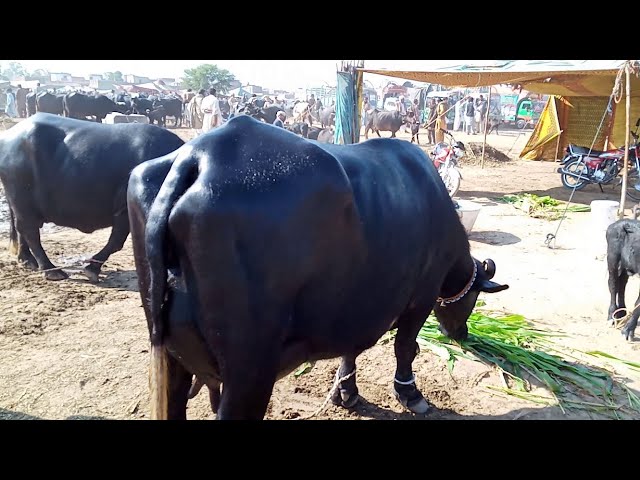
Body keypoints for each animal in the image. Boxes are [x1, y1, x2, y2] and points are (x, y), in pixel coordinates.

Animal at [0, 113, 185, 282]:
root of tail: (7, 137)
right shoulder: (125, 211)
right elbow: (116, 242)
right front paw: (91, 268)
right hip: (22, 201)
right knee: (30, 231)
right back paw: (51, 270)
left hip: (19, 204)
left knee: (21, 228)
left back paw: (27, 260)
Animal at [126, 116, 510, 420]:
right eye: (473, 299)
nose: (462, 334)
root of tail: (196, 156)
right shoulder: (421, 296)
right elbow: (405, 346)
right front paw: (410, 393)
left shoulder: (359, 306)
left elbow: (354, 348)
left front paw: (346, 392)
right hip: (248, 372)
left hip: (169, 357)